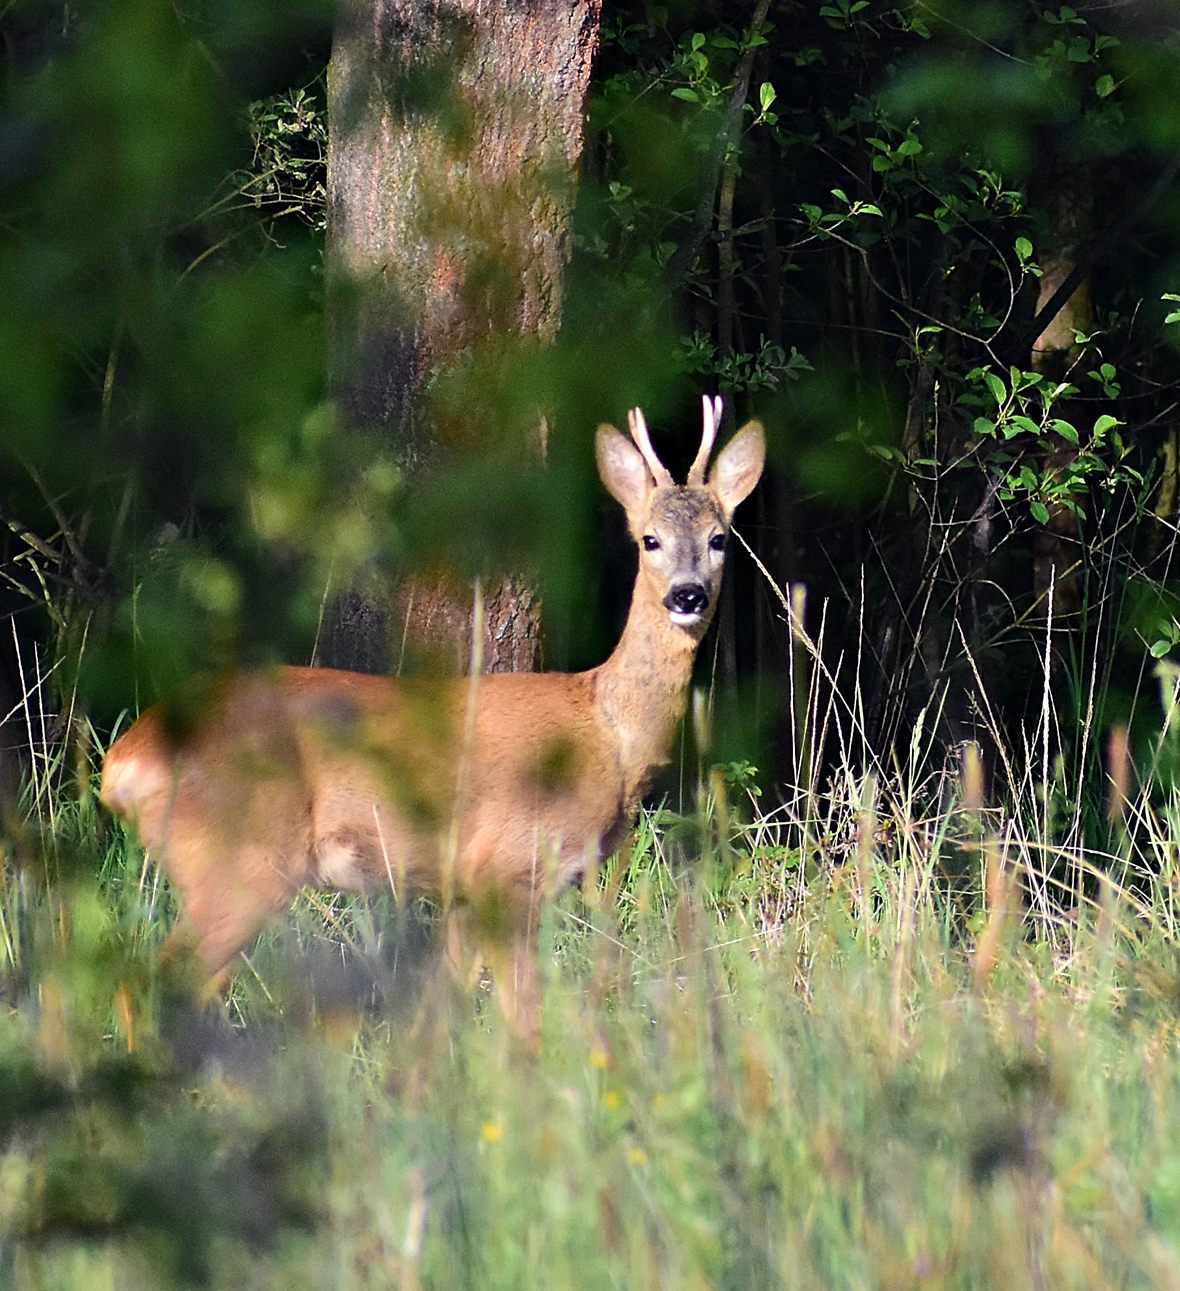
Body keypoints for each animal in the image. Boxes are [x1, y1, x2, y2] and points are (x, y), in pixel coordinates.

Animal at [101, 397, 764, 1043]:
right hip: (236, 864)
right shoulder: (506, 868)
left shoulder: (464, 891)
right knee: (144, 987)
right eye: (649, 539)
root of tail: (124, 761)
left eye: (719, 539)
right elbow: (523, 1021)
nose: (687, 595)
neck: (606, 736)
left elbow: (442, 1009)